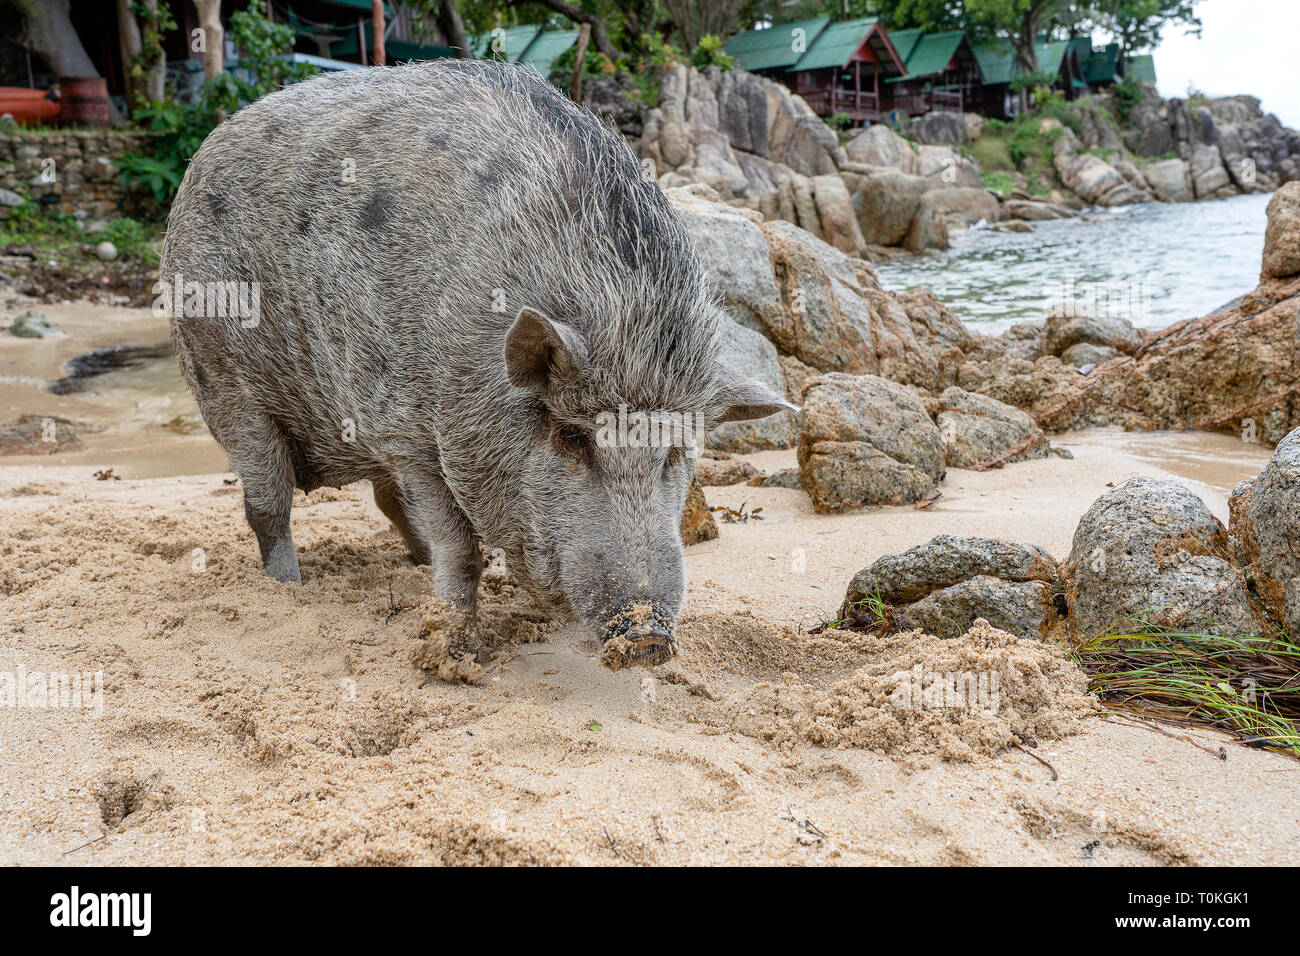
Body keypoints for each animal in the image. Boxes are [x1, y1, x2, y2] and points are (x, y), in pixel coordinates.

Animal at [162, 61, 790, 665]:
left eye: (678, 452)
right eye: (571, 437)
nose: (647, 640)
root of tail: (202, 157)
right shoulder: (407, 432)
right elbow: (460, 548)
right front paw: (457, 651)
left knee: (384, 502)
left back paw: (411, 568)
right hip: (222, 379)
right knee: (268, 505)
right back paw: (288, 589)